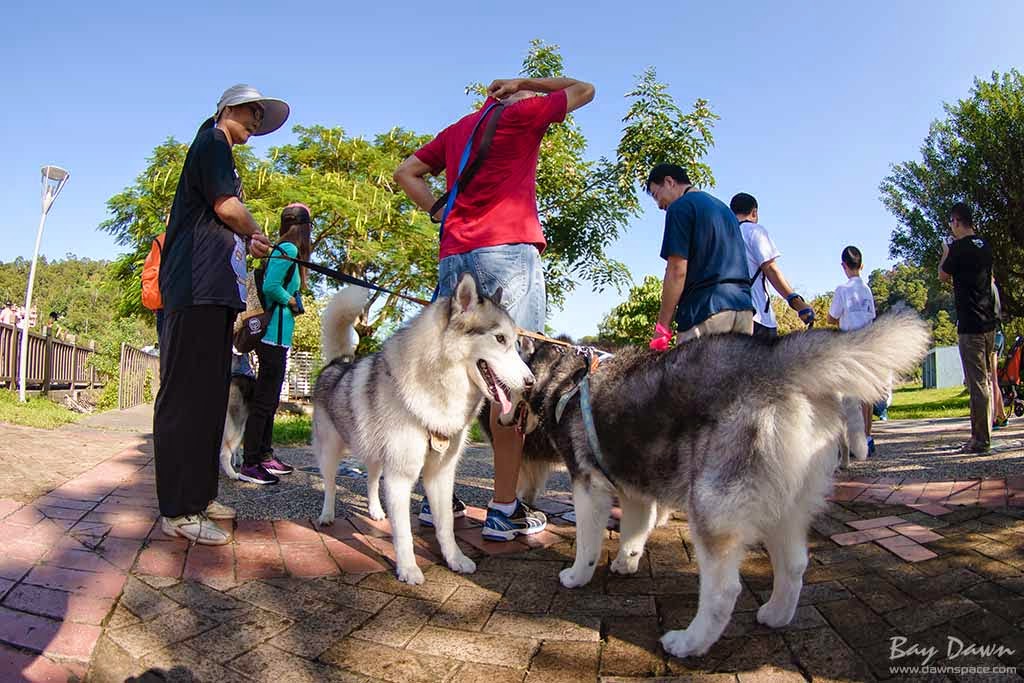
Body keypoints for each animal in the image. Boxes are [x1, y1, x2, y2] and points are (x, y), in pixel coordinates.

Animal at [313, 274, 536, 585]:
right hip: (330, 452)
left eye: (517, 343)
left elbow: (445, 525)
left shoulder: (440, 474)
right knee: (331, 484)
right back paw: (327, 514)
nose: (531, 382)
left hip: (374, 453)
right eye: (500, 338)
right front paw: (408, 569)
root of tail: (338, 363)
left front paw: (455, 559)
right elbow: (404, 532)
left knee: (372, 479)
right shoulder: (400, 476)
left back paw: (376, 511)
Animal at [516, 313, 933, 659]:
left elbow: (587, 543)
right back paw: (776, 614)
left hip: (711, 507)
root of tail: (777, 361)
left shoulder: (588, 485)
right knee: (795, 564)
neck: (569, 377)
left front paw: (577, 575)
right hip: (786, 504)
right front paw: (626, 562)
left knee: (724, 591)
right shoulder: (637, 491)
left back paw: (689, 642)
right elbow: (634, 533)